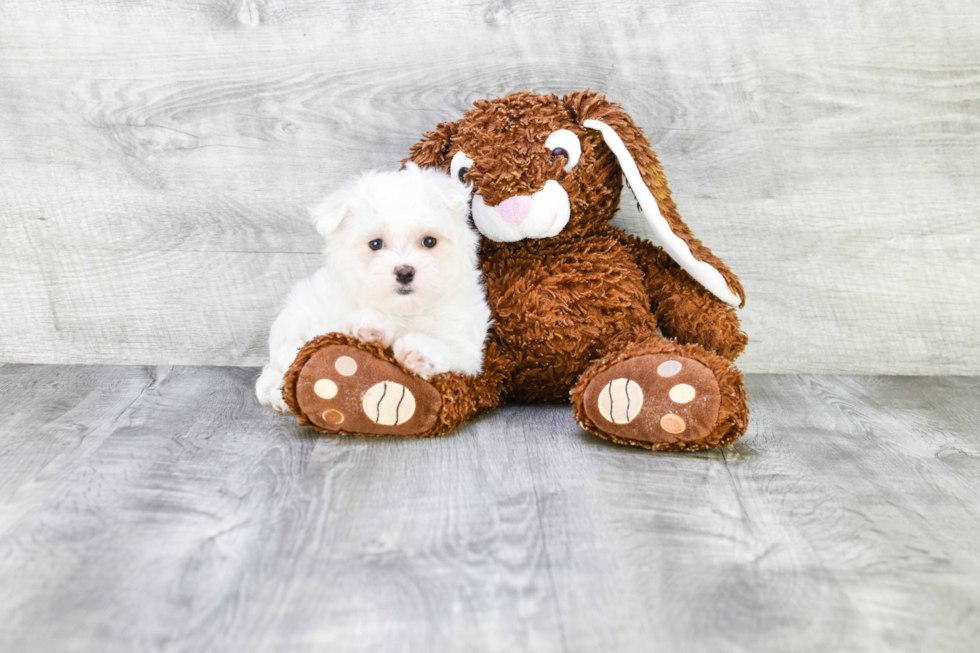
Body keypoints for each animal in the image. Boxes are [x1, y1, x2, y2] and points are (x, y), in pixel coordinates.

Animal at [255, 162, 488, 412]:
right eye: (375, 244)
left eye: (429, 241)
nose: (404, 272)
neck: (406, 309)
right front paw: (370, 326)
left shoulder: (467, 346)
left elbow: (453, 350)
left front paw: (420, 350)